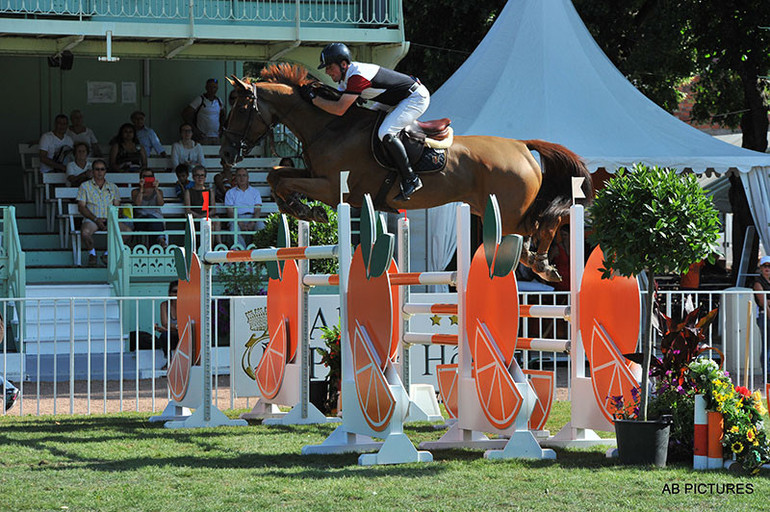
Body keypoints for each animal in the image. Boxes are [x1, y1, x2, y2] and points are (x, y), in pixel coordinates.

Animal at [219, 63, 592, 282]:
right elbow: (276, 175)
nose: (225, 155)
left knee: (549, 220)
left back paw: (541, 262)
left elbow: (284, 180)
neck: (328, 126)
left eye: (241, 108)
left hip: (511, 210)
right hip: (490, 209)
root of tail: (520, 145)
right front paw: (298, 209)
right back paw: (533, 258)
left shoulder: (334, 188)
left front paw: (307, 210)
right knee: (536, 226)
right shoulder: (313, 175)